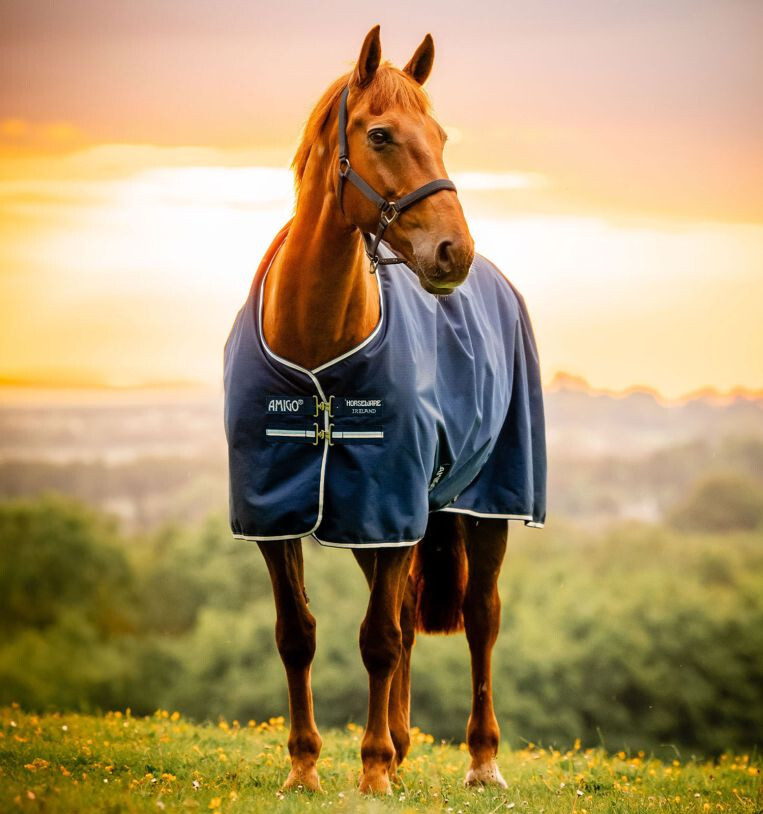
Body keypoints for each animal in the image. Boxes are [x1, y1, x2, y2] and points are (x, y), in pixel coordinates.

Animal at [224, 25, 546, 794]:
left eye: (441, 134)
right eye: (380, 134)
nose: (453, 252)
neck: (317, 347)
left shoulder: (391, 503)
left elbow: (378, 639)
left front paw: (370, 773)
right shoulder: (282, 512)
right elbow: (298, 635)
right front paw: (305, 768)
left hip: (483, 503)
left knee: (480, 616)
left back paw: (480, 759)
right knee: (400, 612)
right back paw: (399, 745)